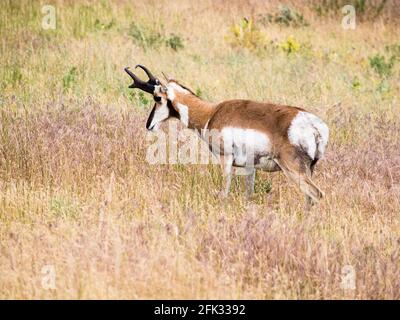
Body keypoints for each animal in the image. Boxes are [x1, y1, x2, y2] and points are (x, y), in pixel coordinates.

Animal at [125, 65, 328, 208]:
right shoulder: (250, 168)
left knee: (316, 194)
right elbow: (249, 196)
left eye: (157, 98)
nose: (149, 125)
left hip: (293, 170)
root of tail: (315, 126)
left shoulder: (226, 160)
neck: (211, 113)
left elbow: (224, 193)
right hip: (308, 170)